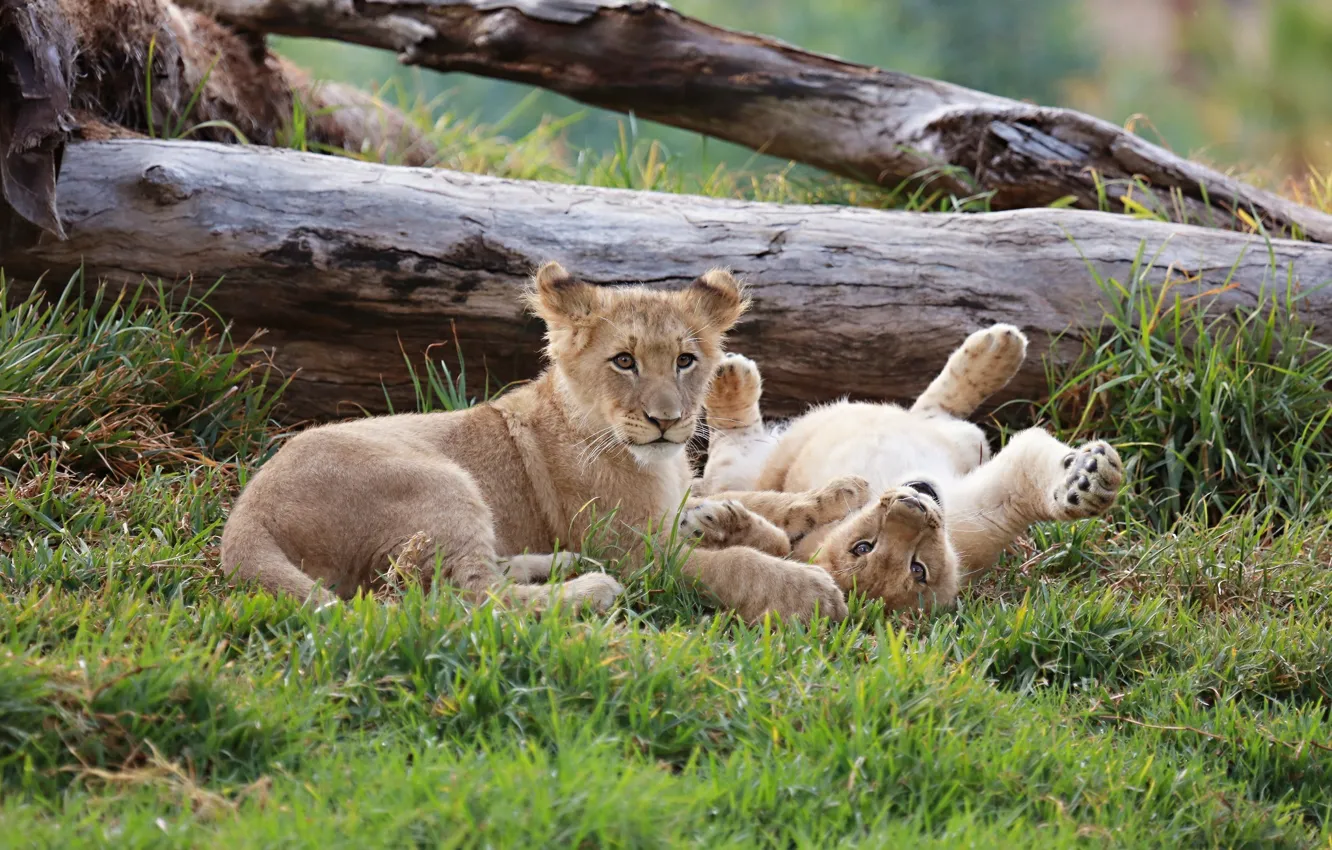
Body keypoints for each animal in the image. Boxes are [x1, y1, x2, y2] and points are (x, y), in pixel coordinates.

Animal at [220, 262, 861, 623]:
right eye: (624, 361)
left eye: (685, 360)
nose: (666, 420)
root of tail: (246, 515)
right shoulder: (635, 552)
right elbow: (728, 566)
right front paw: (805, 590)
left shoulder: (680, 495)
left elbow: (762, 501)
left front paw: (840, 492)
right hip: (439, 481)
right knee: (463, 600)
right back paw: (591, 588)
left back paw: (559, 565)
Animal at [687, 323, 1125, 611]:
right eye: (864, 547)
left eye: (917, 568)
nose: (912, 504)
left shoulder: (977, 519)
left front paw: (1089, 482)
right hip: (745, 469)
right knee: (734, 443)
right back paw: (729, 375)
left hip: (958, 442)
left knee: (934, 410)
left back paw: (998, 346)